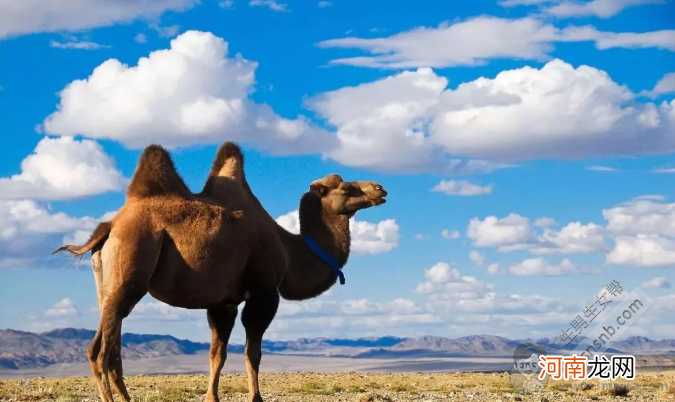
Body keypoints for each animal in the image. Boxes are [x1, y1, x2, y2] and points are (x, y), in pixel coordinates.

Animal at [54, 142, 388, 402]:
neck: (289, 248)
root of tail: (109, 226)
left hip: (108, 286)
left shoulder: (223, 302)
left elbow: (218, 354)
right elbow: (253, 352)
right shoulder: (264, 291)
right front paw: (256, 397)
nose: (379, 188)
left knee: (110, 349)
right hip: (131, 268)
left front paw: (211, 397)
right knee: (100, 352)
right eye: (346, 187)